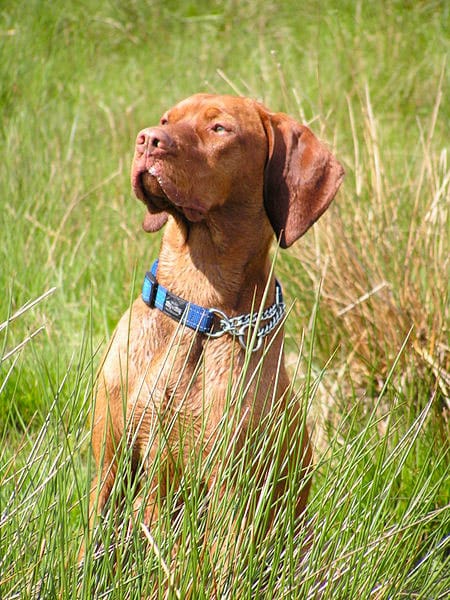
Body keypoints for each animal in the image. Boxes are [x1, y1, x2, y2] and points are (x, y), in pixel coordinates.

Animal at [89, 92, 344, 548]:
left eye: (219, 128)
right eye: (165, 120)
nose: (147, 140)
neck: (197, 309)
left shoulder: (230, 488)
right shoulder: (110, 462)